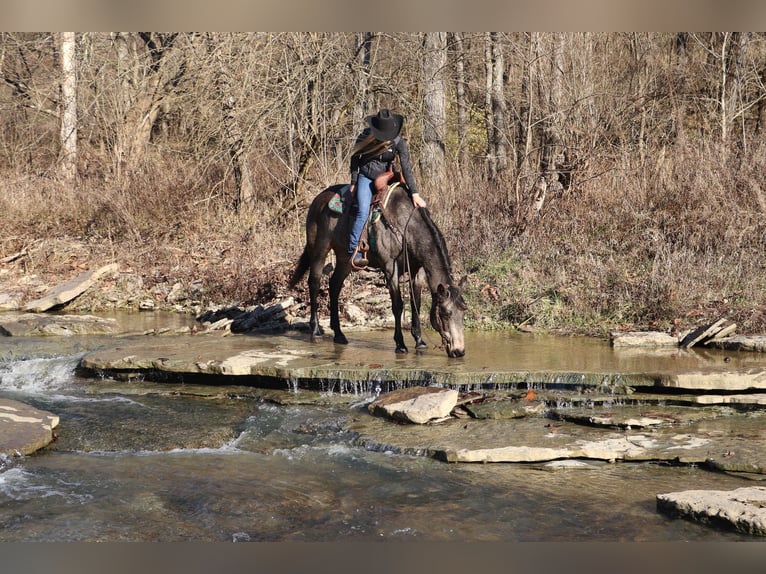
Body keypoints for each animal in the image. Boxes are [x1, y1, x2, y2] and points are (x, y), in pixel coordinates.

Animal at [288, 183, 468, 360]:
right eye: (445, 313)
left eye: (463, 311)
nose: (459, 351)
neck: (405, 226)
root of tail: (318, 199)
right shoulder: (390, 268)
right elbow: (397, 305)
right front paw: (400, 344)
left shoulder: (417, 271)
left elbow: (415, 302)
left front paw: (419, 340)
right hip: (319, 249)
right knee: (314, 283)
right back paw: (316, 331)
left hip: (345, 259)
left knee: (334, 286)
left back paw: (339, 334)